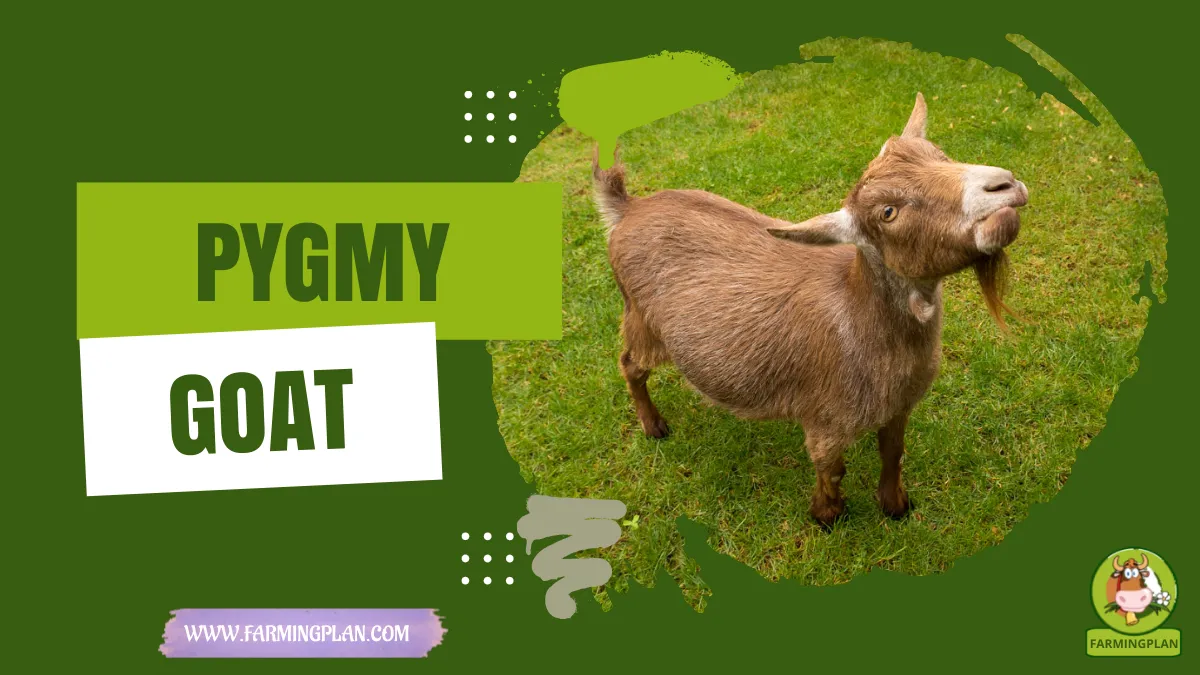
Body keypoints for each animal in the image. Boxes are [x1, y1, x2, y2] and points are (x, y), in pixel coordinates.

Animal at [593, 93, 1027, 527]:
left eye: (941, 154)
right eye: (888, 212)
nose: (1004, 186)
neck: (857, 316)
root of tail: (627, 209)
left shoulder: (898, 406)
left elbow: (893, 452)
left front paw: (895, 506)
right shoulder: (825, 421)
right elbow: (831, 468)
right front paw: (828, 515)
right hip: (642, 320)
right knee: (630, 364)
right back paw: (654, 426)